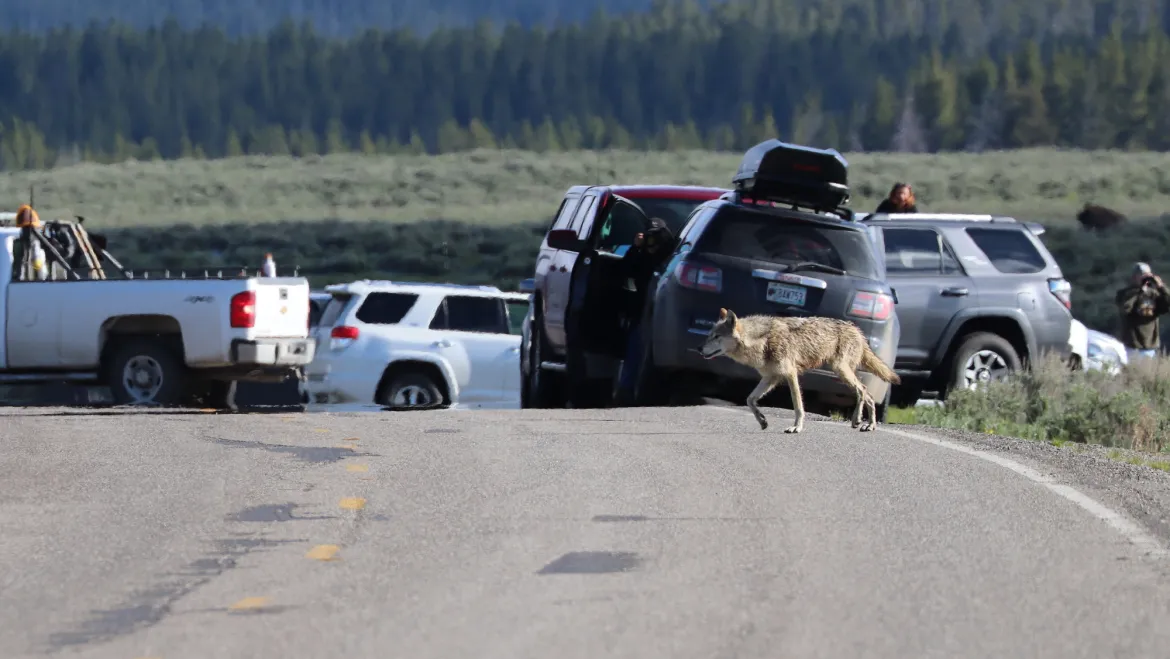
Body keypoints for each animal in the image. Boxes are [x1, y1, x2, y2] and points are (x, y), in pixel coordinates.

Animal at [698, 308, 900, 433]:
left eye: (716, 337)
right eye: (709, 336)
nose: (700, 350)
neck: (761, 340)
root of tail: (857, 330)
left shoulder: (790, 374)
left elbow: (798, 406)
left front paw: (796, 428)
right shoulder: (771, 377)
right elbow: (750, 400)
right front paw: (763, 421)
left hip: (840, 370)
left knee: (863, 390)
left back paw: (862, 421)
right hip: (841, 372)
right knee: (867, 394)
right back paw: (866, 424)